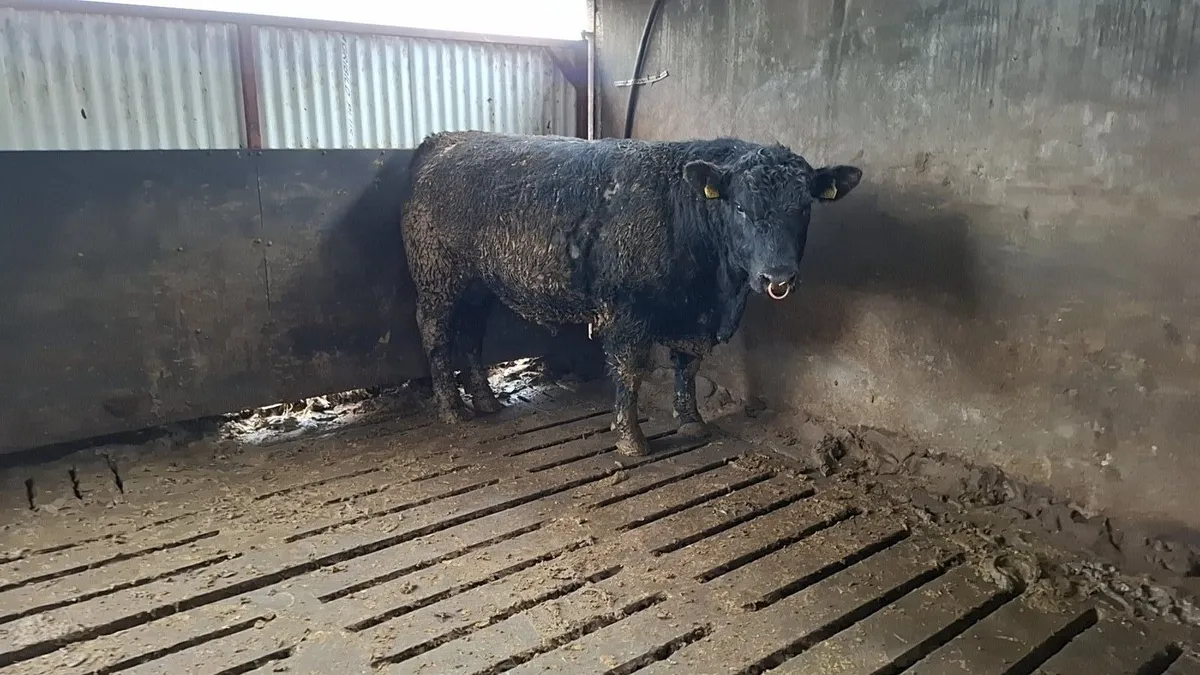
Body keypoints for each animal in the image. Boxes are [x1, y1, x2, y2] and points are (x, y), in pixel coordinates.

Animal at [401, 131, 862, 456]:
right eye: (741, 208)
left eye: (804, 207)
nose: (777, 276)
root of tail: (444, 139)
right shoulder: (626, 312)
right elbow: (629, 370)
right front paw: (630, 439)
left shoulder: (692, 318)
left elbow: (688, 365)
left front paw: (691, 420)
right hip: (437, 275)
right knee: (436, 332)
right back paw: (452, 409)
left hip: (477, 284)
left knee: (471, 334)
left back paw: (486, 400)